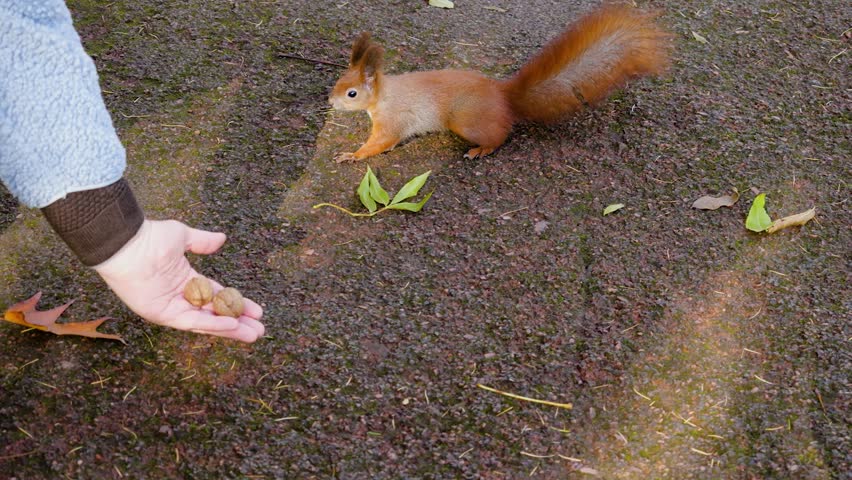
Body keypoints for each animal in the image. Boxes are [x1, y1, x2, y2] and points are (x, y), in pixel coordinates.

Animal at [328, 4, 670, 162]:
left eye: (352, 93)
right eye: (338, 82)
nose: (329, 102)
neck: (384, 95)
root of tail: (503, 96)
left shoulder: (392, 120)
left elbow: (380, 142)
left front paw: (352, 155)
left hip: (466, 121)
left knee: (501, 135)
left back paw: (481, 150)